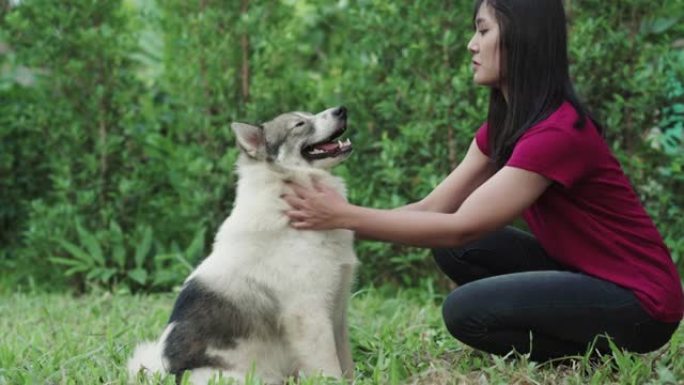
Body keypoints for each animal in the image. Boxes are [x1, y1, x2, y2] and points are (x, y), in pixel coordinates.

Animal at [127, 106, 358, 384]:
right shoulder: (310, 314)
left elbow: (346, 362)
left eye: (308, 115)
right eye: (299, 124)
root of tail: (164, 372)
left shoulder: (337, 309)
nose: (341, 110)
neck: (285, 186)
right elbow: (330, 367)